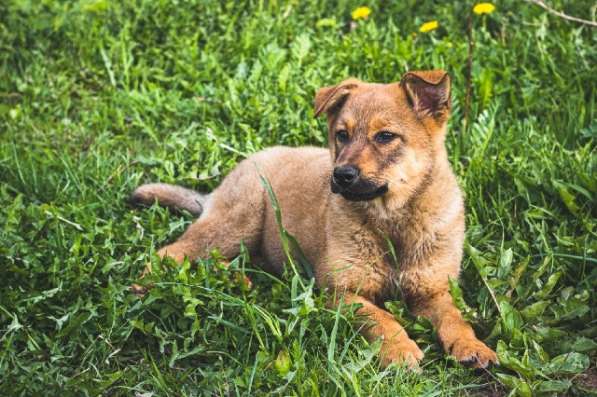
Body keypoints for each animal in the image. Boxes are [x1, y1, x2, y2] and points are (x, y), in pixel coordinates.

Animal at [132, 70, 498, 368]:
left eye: (385, 136)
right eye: (342, 134)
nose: (341, 175)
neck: (391, 221)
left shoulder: (433, 291)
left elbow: (454, 318)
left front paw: (472, 345)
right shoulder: (341, 290)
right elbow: (380, 317)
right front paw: (400, 349)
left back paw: (237, 281)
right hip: (236, 224)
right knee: (171, 253)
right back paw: (146, 286)